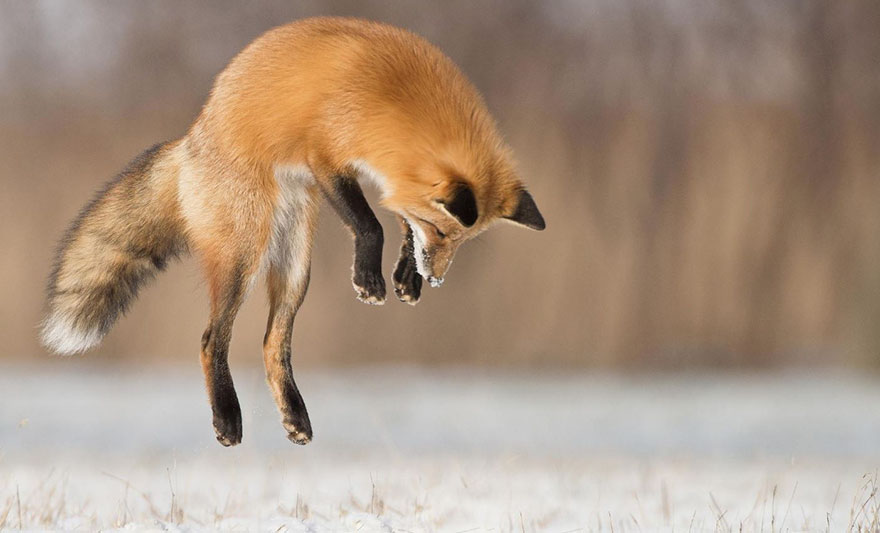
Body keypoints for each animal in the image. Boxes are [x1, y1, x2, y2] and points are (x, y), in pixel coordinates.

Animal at [41, 17, 545, 447]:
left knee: (272, 345)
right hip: (244, 254)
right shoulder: (327, 156)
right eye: (440, 231)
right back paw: (227, 418)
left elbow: (398, 220)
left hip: (295, 266)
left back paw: (295, 416)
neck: (398, 96)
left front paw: (406, 277)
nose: (437, 278)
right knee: (211, 340)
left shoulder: (383, 176)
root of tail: (190, 141)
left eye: (458, 241)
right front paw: (371, 279)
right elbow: (371, 225)